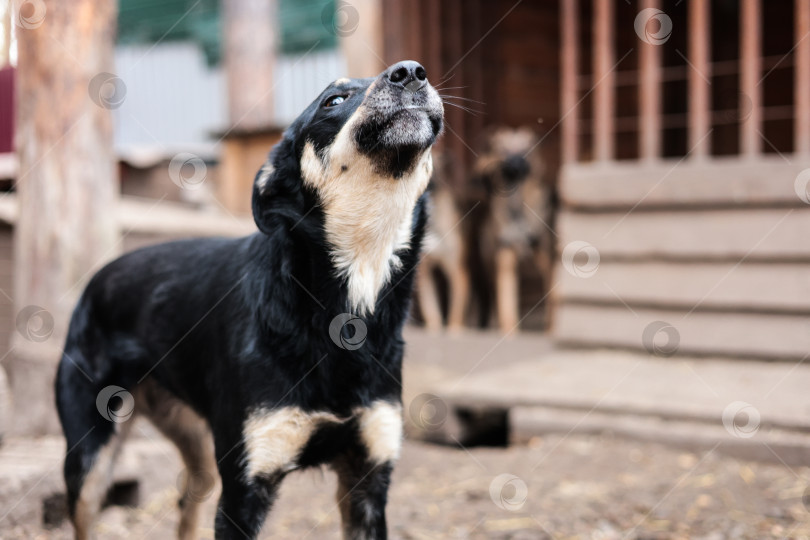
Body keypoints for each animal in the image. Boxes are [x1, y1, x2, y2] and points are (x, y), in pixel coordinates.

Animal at [54, 61, 446, 536]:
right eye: (332, 101)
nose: (410, 72)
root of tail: (99, 278)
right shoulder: (244, 491)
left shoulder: (368, 481)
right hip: (88, 460)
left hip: (199, 451)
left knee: (188, 499)